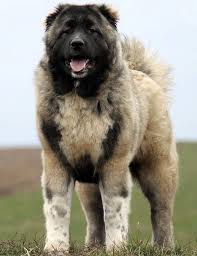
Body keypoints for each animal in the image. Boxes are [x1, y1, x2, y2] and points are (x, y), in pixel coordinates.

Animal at [35, 2, 179, 254]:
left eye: (93, 30)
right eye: (66, 30)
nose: (77, 44)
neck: (80, 97)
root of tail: (143, 74)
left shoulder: (113, 165)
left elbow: (114, 211)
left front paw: (117, 248)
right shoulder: (57, 161)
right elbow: (57, 208)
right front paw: (55, 247)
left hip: (157, 168)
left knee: (161, 210)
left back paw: (163, 247)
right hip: (88, 185)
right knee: (94, 215)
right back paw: (93, 246)